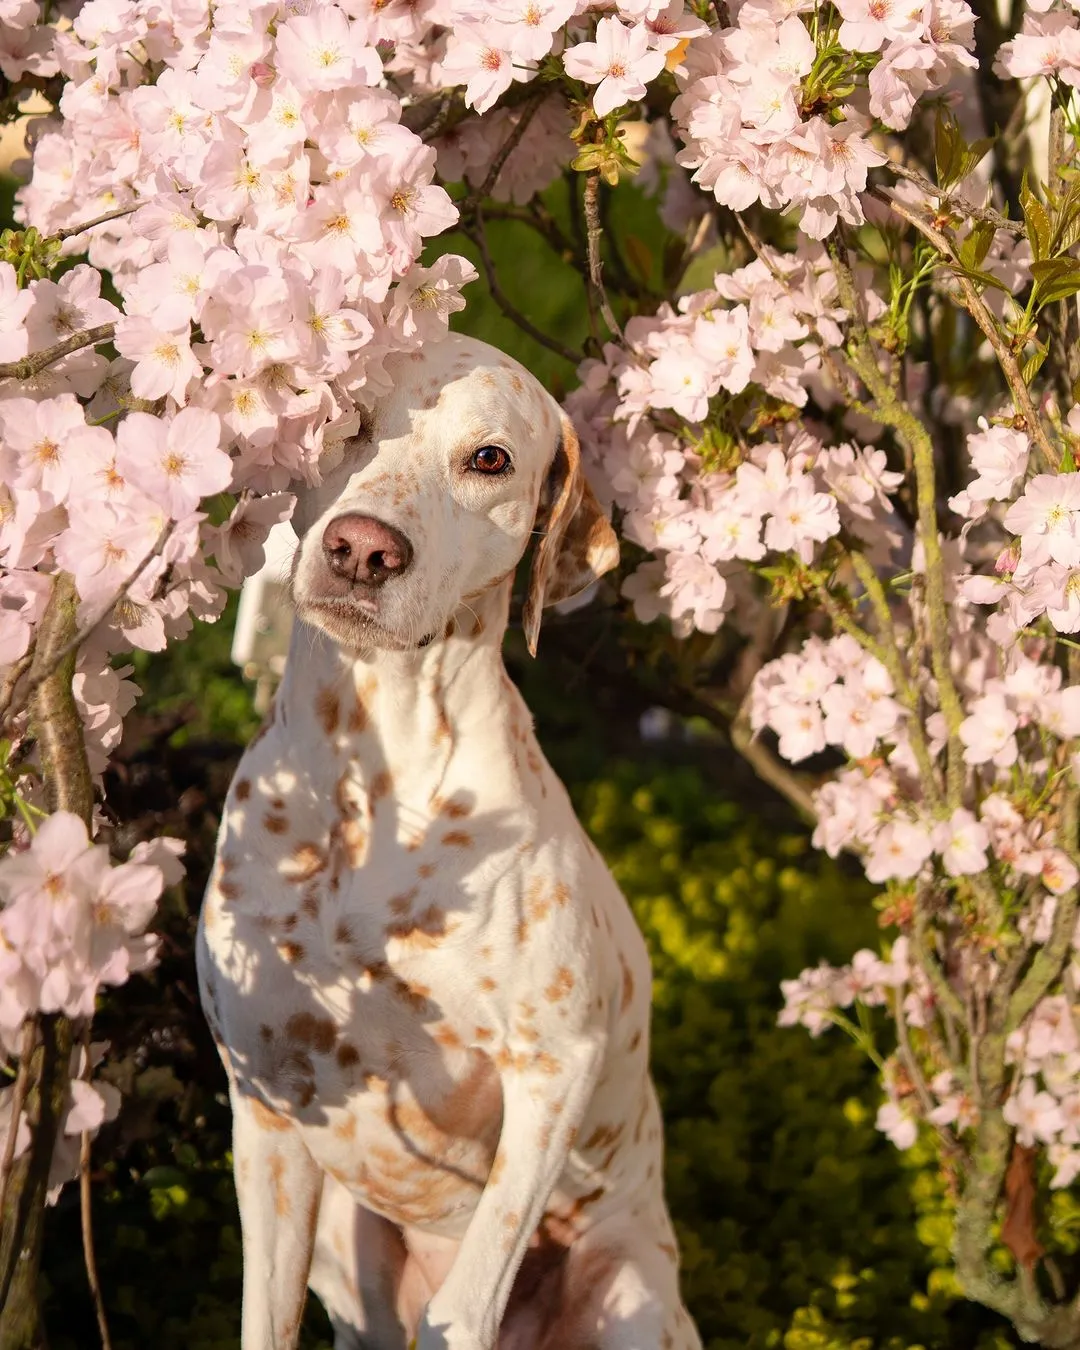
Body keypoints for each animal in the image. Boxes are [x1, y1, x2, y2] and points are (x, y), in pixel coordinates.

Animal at [195, 329, 702, 1350]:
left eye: (489, 459)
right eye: (345, 415)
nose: (362, 548)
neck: (376, 771)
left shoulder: (555, 1069)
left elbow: (464, 1308)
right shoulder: (264, 1112)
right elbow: (265, 1312)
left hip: (630, 1292)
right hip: (344, 1244)